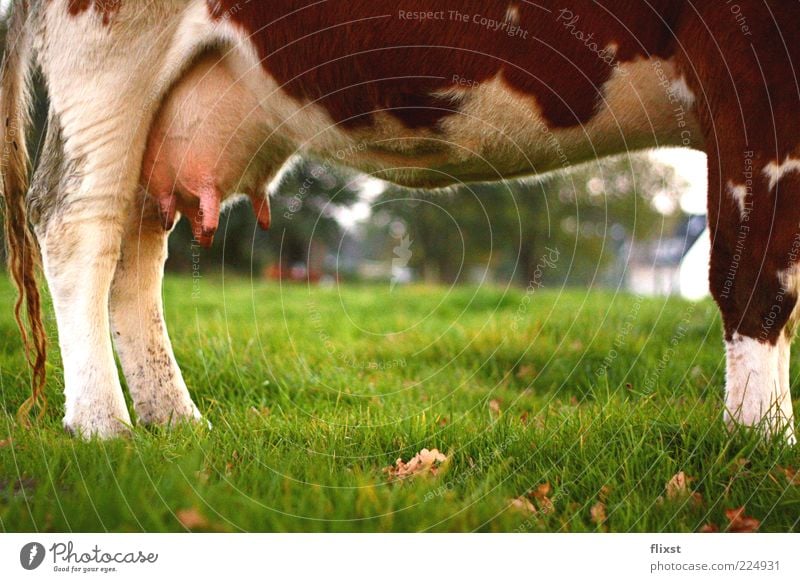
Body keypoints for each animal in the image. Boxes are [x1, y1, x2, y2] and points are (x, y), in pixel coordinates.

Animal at [0, 0, 796, 444]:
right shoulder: (755, 69)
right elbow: (757, 278)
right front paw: (759, 449)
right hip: (109, 52)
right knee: (77, 222)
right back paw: (103, 427)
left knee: (135, 249)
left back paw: (176, 422)